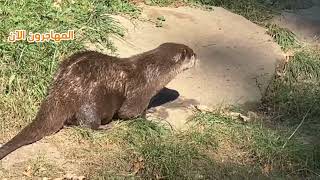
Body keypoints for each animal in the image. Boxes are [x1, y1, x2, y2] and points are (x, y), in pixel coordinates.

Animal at [0, 42, 198, 160]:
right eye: (191, 54)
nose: (197, 55)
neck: (154, 71)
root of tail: (61, 92)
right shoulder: (140, 92)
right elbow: (130, 113)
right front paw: (150, 123)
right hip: (92, 100)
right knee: (87, 124)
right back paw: (106, 127)